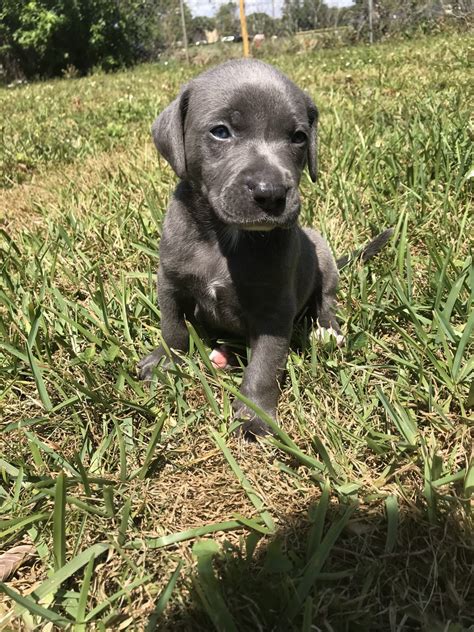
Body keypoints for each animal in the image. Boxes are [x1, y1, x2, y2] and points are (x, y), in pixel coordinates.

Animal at [139, 59, 390, 436]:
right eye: (221, 132)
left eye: (298, 137)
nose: (270, 192)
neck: (224, 237)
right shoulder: (170, 281)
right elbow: (173, 328)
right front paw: (165, 361)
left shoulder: (275, 309)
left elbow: (265, 363)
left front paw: (255, 414)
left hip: (321, 251)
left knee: (326, 300)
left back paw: (327, 331)